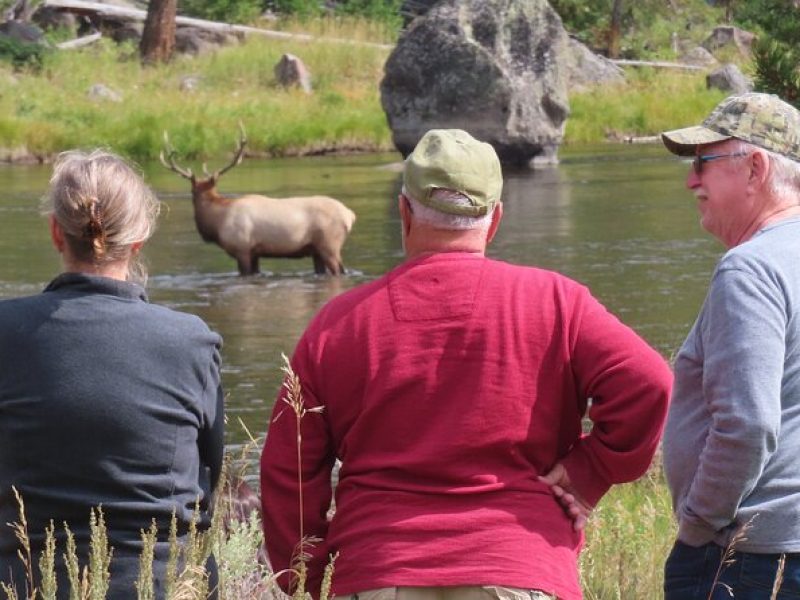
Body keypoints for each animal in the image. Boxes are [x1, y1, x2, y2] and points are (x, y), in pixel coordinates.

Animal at [161, 129, 354, 276]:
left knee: (340, 270)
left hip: (329, 244)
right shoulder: (255, 253)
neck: (218, 221)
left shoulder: (242, 249)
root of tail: (350, 216)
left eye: (192, 192)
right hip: (316, 250)